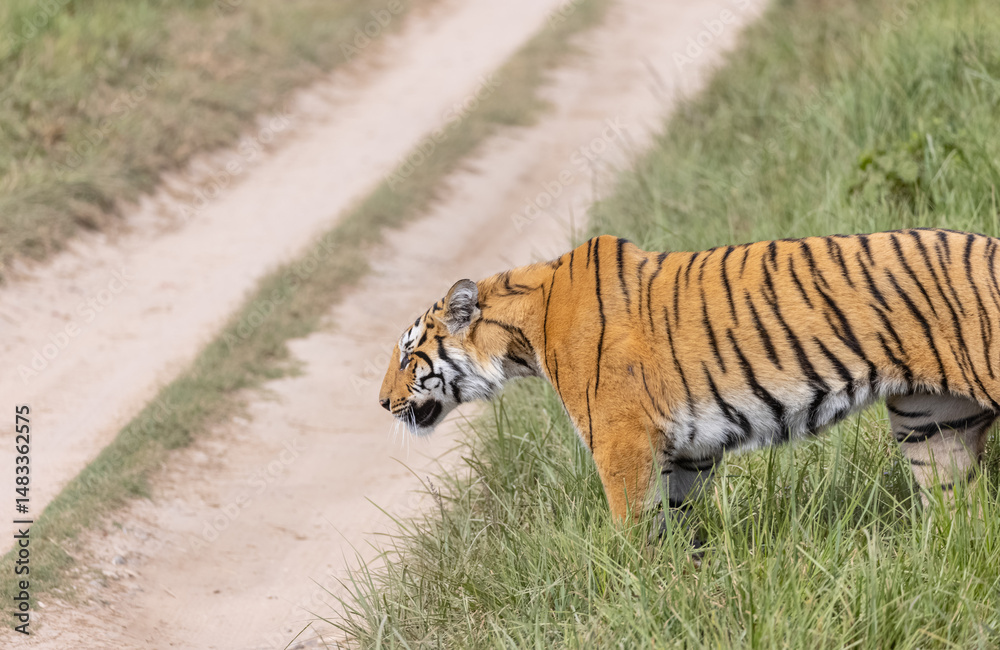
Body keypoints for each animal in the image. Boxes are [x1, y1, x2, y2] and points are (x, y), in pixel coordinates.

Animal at [379, 228, 1000, 530]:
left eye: (409, 356)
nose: (382, 403)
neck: (521, 337)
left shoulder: (621, 443)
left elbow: (634, 528)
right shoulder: (688, 451)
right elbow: (680, 528)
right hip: (929, 424)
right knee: (958, 506)